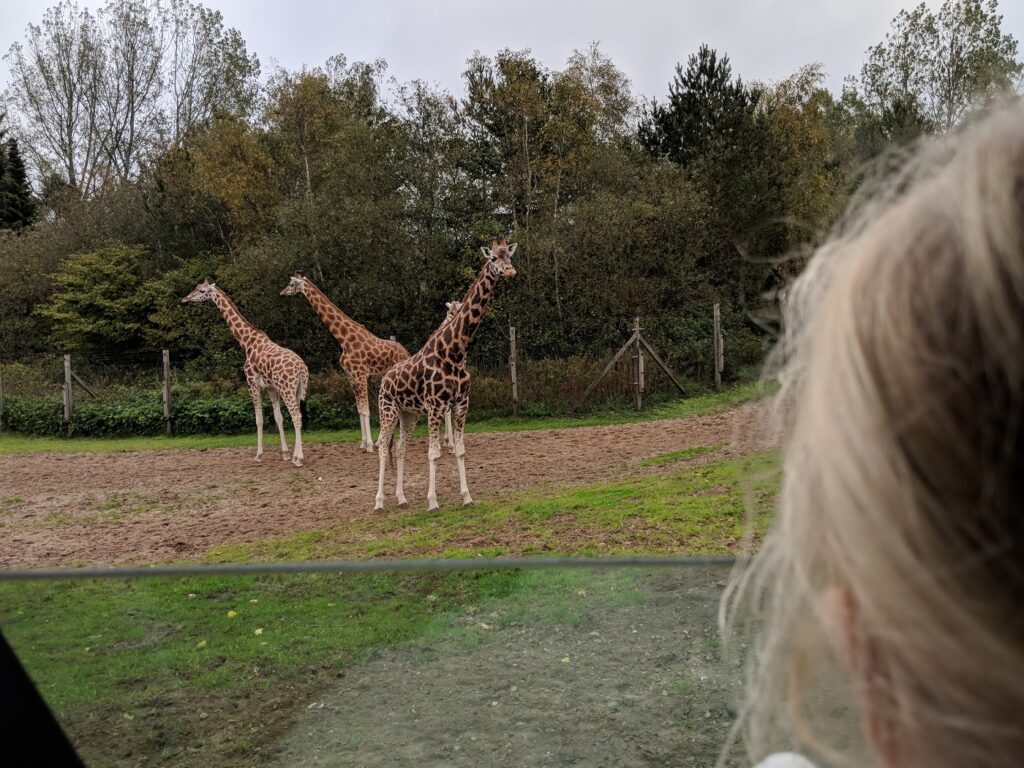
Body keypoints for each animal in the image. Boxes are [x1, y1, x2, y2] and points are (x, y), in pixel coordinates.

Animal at [183, 280, 307, 466]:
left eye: (202, 290)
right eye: (196, 288)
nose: (185, 298)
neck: (246, 341)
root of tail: (302, 369)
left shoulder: (251, 383)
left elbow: (259, 419)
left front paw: (259, 455)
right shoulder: (271, 387)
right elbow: (278, 418)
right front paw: (285, 453)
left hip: (287, 388)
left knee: (297, 416)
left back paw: (299, 458)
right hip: (297, 389)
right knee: (297, 416)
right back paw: (294, 456)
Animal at [282, 276, 409, 454]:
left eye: (291, 284)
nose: (282, 292)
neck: (344, 339)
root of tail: (407, 353)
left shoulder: (360, 374)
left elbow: (366, 410)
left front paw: (369, 445)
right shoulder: (351, 377)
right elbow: (359, 410)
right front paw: (364, 443)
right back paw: (381, 441)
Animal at [374, 243, 516, 514]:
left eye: (510, 256)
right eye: (494, 258)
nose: (510, 271)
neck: (455, 352)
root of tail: (385, 380)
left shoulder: (461, 403)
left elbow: (460, 451)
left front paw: (467, 496)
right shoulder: (435, 406)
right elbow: (433, 453)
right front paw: (433, 501)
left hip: (408, 414)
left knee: (399, 448)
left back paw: (401, 498)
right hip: (388, 410)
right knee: (383, 448)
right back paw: (378, 502)